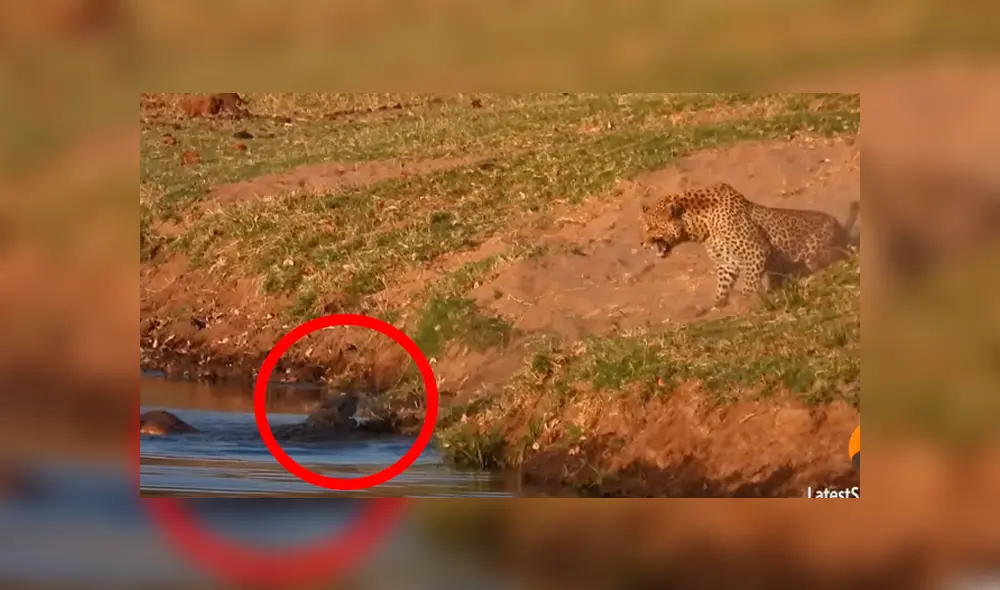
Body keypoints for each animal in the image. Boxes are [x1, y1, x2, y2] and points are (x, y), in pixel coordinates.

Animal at [640, 182, 860, 313]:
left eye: (651, 227)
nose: (642, 243)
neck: (700, 226)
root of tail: (842, 228)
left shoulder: (755, 251)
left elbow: (750, 282)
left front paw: (747, 302)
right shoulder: (726, 263)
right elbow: (723, 286)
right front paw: (718, 305)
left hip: (818, 252)